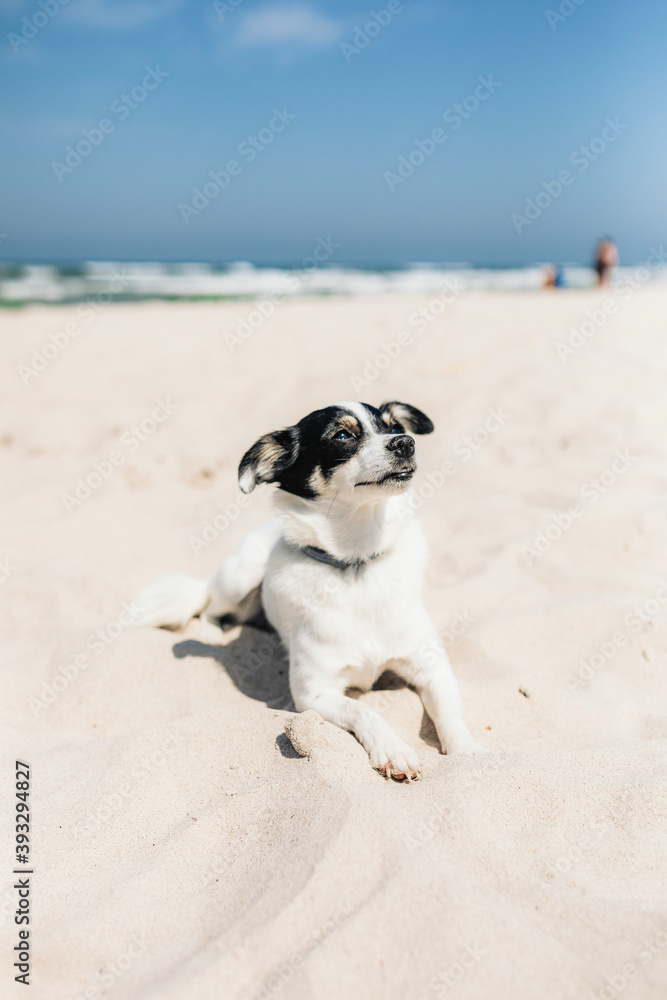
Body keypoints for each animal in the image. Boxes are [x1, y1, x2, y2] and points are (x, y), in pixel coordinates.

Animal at [134, 400, 486, 780]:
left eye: (393, 427)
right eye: (343, 435)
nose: (406, 443)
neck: (355, 561)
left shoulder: (432, 668)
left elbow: (450, 713)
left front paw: (467, 752)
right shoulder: (313, 695)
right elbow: (366, 710)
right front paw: (394, 750)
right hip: (238, 576)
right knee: (210, 604)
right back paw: (214, 633)